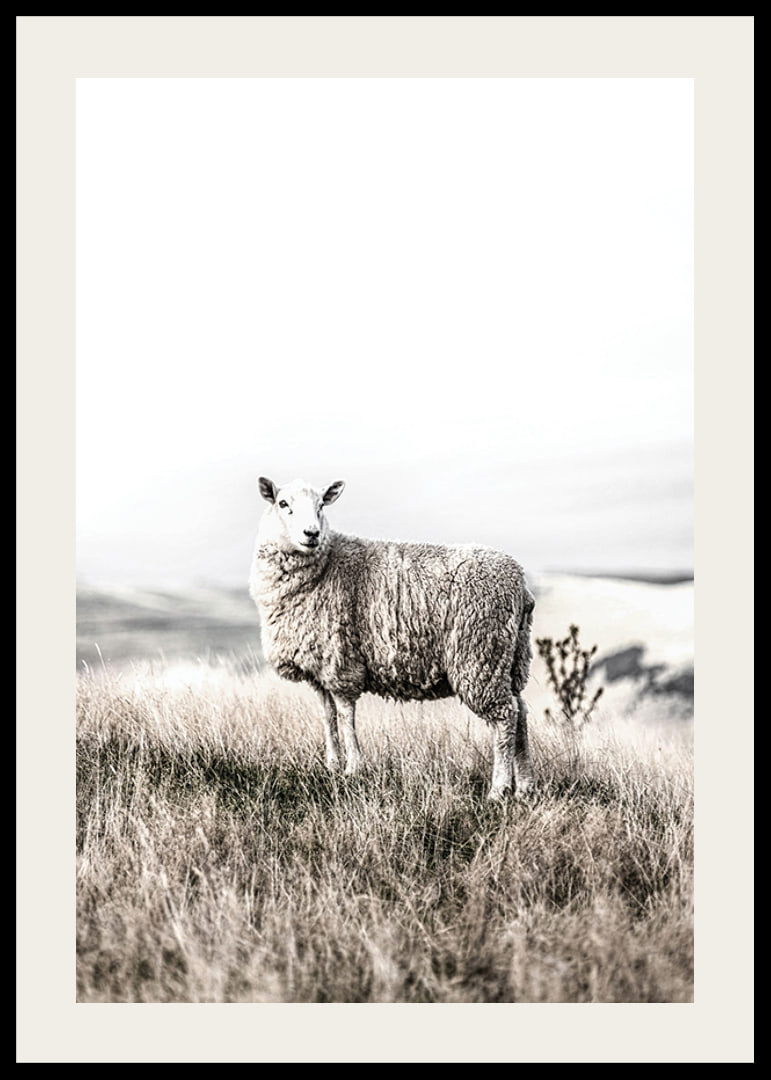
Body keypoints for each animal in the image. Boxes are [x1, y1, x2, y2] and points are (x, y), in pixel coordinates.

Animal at [248, 476, 536, 801]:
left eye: (322, 504)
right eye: (283, 504)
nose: (312, 533)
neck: (325, 566)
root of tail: (520, 585)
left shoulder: (341, 662)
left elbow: (345, 716)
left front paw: (353, 768)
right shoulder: (319, 668)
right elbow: (328, 716)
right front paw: (332, 765)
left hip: (480, 654)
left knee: (505, 716)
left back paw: (499, 789)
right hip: (510, 658)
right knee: (520, 712)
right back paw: (525, 787)